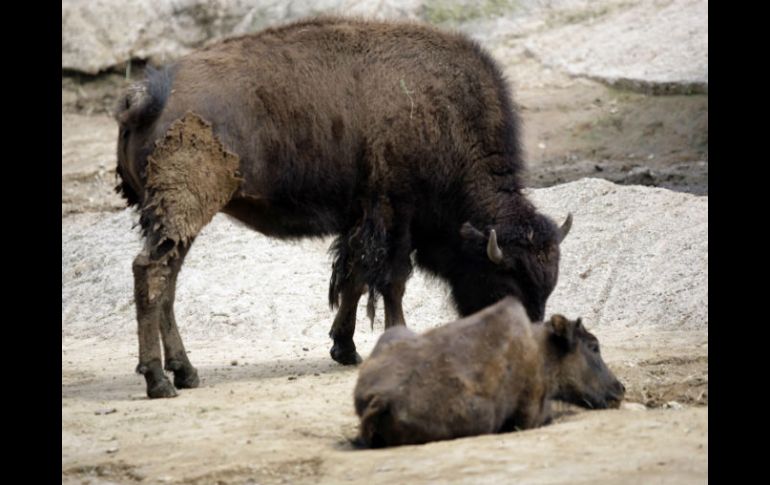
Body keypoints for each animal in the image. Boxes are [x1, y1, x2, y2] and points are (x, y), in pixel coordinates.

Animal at [112, 18, 568, 398]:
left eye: (547, 287)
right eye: (505, 283)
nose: (525, 341)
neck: (443, 113)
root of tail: (147, 96)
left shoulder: (361, 219)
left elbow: (354, 279)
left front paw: (345, 348)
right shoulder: (392, 213)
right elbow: (391, 281)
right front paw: (393, 339)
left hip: (173, 220)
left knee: (166, 281)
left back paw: (185, 372)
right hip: (185, 209)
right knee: (151, 274)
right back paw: (158, 381)